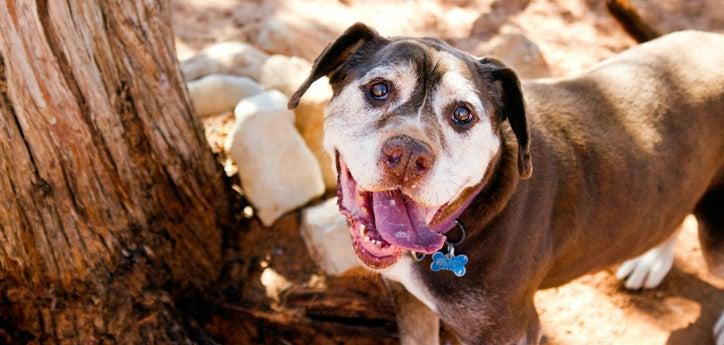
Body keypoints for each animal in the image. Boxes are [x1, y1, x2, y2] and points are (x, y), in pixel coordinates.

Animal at [288, 22, 724, 344]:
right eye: (379, 89)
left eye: (463, 114)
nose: (409, 155)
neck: (466, 219)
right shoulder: (412, 304)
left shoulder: (510, 330)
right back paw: (651, 261)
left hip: (715, 240)